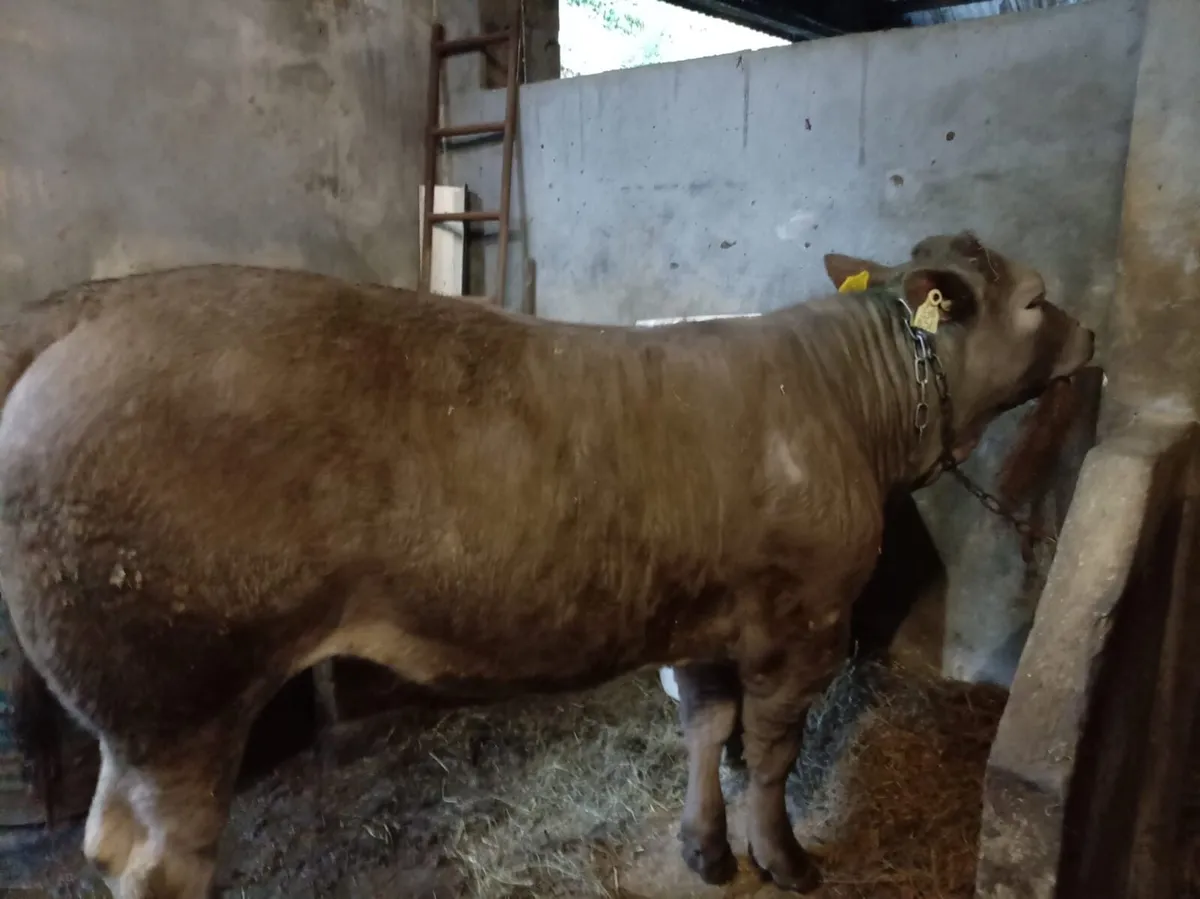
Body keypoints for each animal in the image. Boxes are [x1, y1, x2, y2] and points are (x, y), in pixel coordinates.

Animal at [0, 231, 1094, 898]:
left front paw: (705, 847)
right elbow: (773, 752)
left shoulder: (707, 614)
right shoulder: (807, 619)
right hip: (178, 691)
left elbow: (707, 729)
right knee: (158, 861)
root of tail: (88, 309)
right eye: (1038, 298)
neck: (846, 406)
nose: (1092, 333)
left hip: (147, 708)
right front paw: (783, 857)